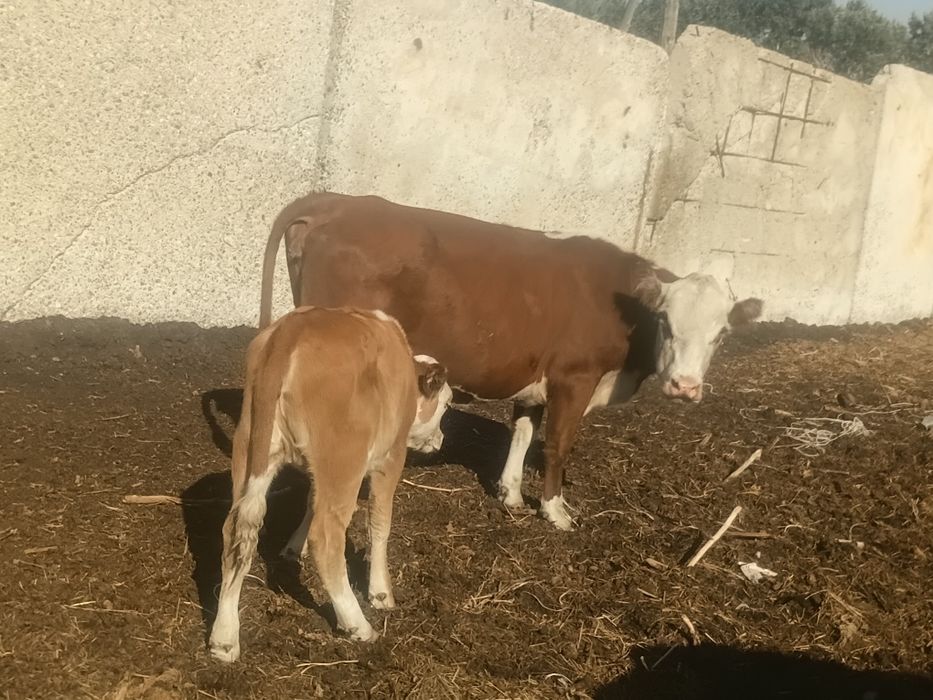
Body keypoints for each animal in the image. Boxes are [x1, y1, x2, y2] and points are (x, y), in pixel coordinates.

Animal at [209, 306, 452, 662]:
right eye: (446, 405)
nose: (441, 439)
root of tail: (292, 330)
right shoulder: (390, 458)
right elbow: (380, 523)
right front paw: (381, 593)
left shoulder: (318, 467)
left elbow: (312, 499)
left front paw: (293, 548)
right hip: (345, 459)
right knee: (326, 538)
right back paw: (358, 625)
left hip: (251, 447)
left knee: (235, 531)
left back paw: (224, 637)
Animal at [258, 192, 763, 531]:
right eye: (666, 321)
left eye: (721, 334)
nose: (684, 386)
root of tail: (339, 201)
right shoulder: (574, 378)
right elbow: (557, 445)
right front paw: (555, 510)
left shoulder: (534, 378)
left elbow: (522, 433)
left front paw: (512, 493)